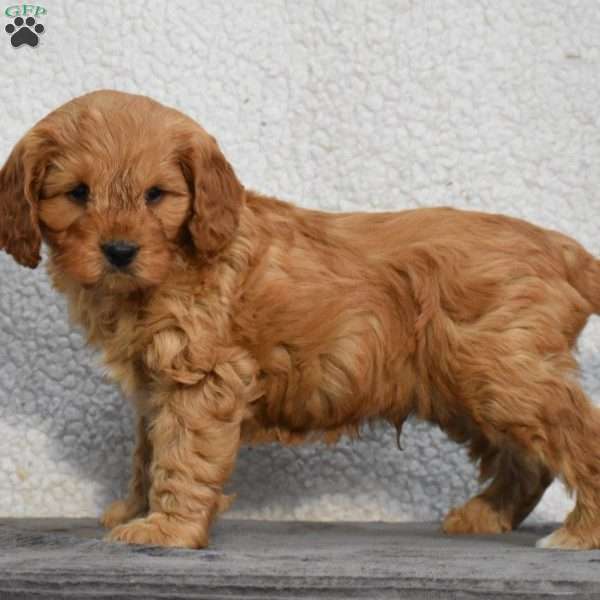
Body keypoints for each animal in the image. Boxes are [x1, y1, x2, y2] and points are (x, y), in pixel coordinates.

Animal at [1, 90, 600, 548]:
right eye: (77, 193)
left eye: (156, 195)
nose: (120, 251)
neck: (176, 264)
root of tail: (562, 247)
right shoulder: (155, 385)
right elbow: (148, 452)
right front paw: (134, 509)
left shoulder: (203, 379)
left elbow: (181, 455)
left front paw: (167, 529)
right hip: (471, 386)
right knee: (528, 462)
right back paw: (486, 515)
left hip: (507, 376)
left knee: (578, 437)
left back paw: (580, 532)